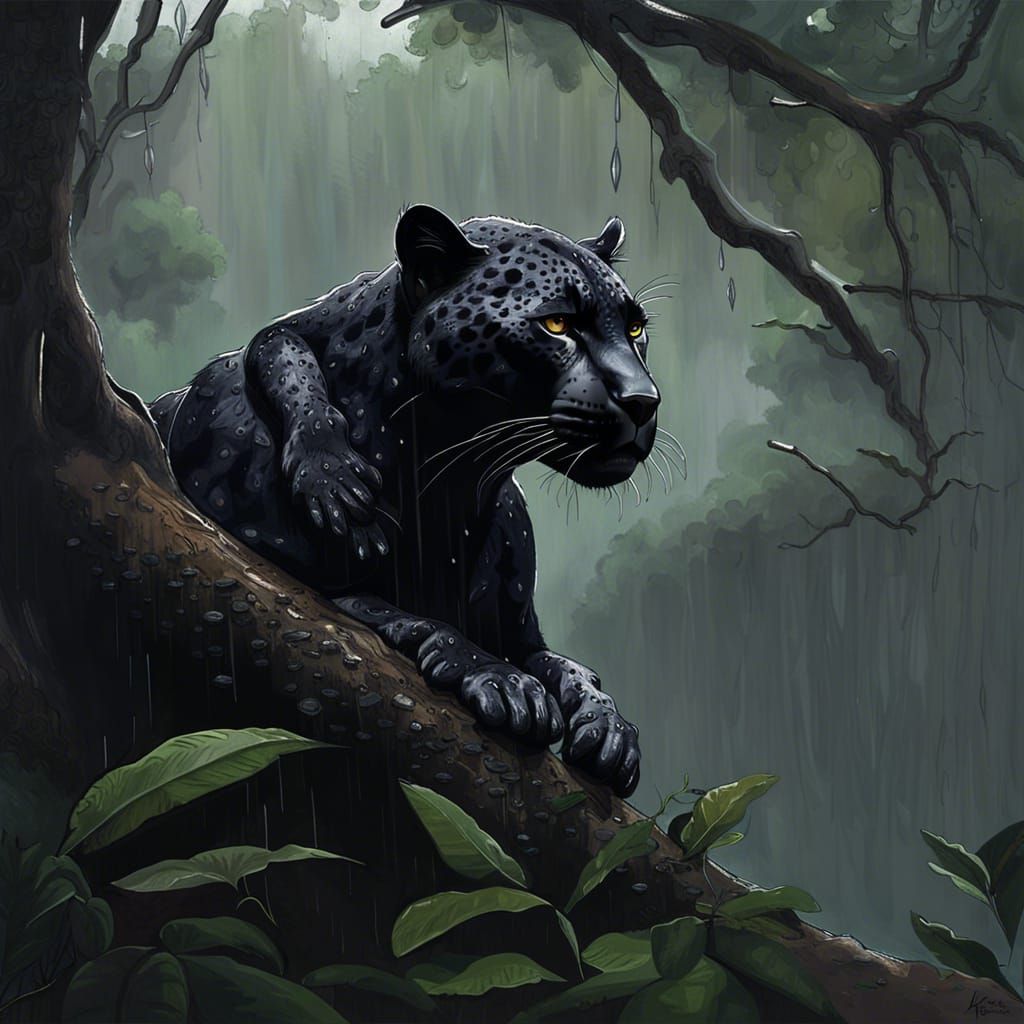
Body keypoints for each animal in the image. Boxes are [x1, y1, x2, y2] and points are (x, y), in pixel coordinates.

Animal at [150, 205, 672, 796]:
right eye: (557, 324)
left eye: (635, 328)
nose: (644, 401)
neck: (451, 486)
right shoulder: (284, 581)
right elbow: (403, 619)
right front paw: (506, 683)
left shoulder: (521, 635)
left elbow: (569, 667)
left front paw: (611, 728)